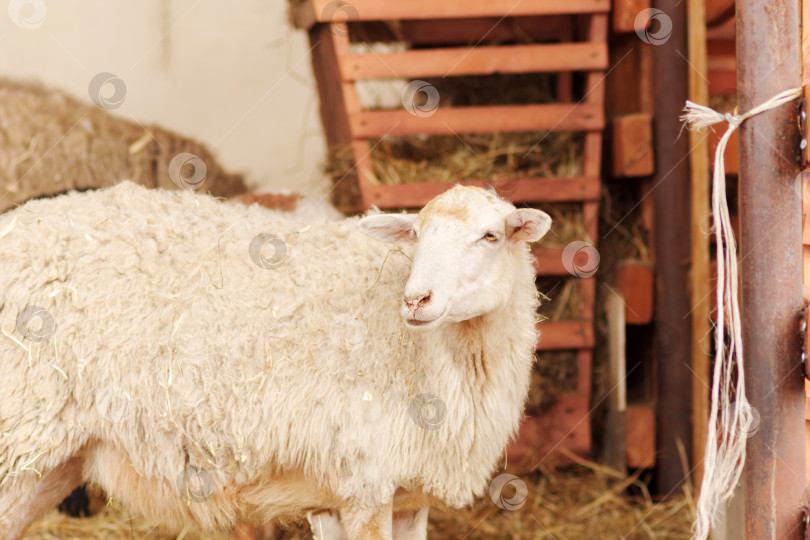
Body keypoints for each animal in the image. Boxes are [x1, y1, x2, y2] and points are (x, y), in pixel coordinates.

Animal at [0, 181, 551, 540]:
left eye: (491, 236)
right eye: (415, 236)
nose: (416, 300)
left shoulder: (394, 495)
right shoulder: (364, 483)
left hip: (51, 460)